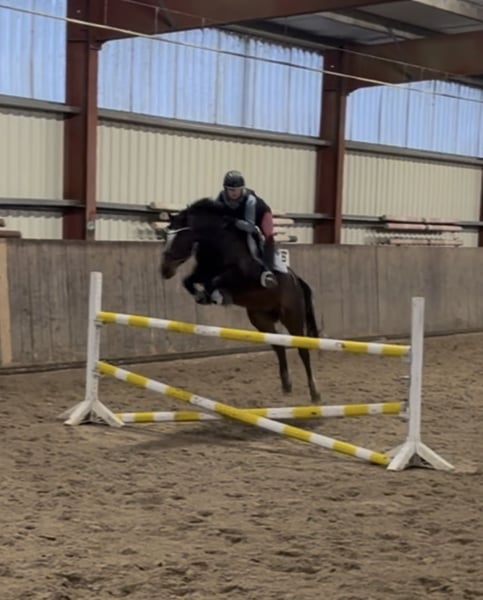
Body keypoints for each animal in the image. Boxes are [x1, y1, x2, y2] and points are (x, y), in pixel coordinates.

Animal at [159, 197, 321, 403]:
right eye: (165, 237)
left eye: (179, 238)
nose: (164, 270)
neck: (218, 244)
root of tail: (297, 281)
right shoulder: (202, 272)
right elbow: (189, 281)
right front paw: (202, 296)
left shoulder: (242, 276)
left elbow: (216, 280)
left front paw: (216, 295)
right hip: (260, 318)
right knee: (278, 346)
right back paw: (286, 384)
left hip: (293, 317)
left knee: (302, 350)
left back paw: (315, 393)